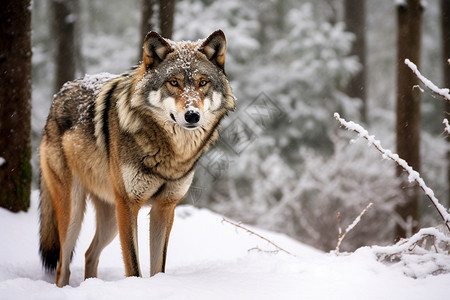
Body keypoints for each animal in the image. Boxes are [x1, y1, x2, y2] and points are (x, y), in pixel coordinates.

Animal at [39, 29, 236, 286]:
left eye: (203, 83)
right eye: (173, 82)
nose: (192, 115)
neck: (170, 155)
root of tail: (59, 93)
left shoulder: (165, 207)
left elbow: (159, 266)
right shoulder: (129, 205)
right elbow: (133, 265)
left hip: (111, 220)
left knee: (89, 253)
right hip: (75, 212)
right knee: (63, 266)